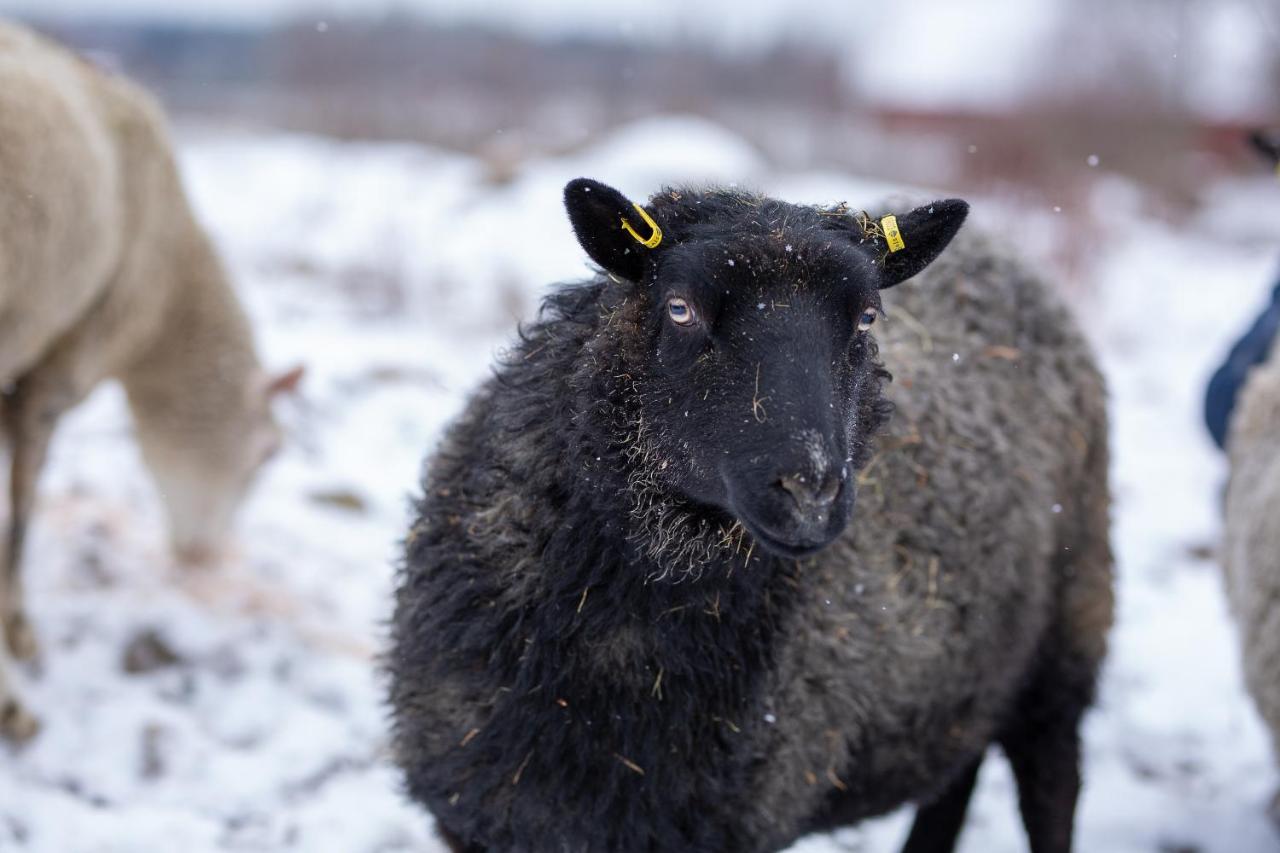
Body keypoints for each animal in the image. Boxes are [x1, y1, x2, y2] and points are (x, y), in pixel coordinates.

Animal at [386, 179, 1111, 850]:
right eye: (679, 308)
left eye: (867, 319)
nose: (811, 491)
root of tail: (1007, 253)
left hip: (1068, 637)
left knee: (1050, 782)